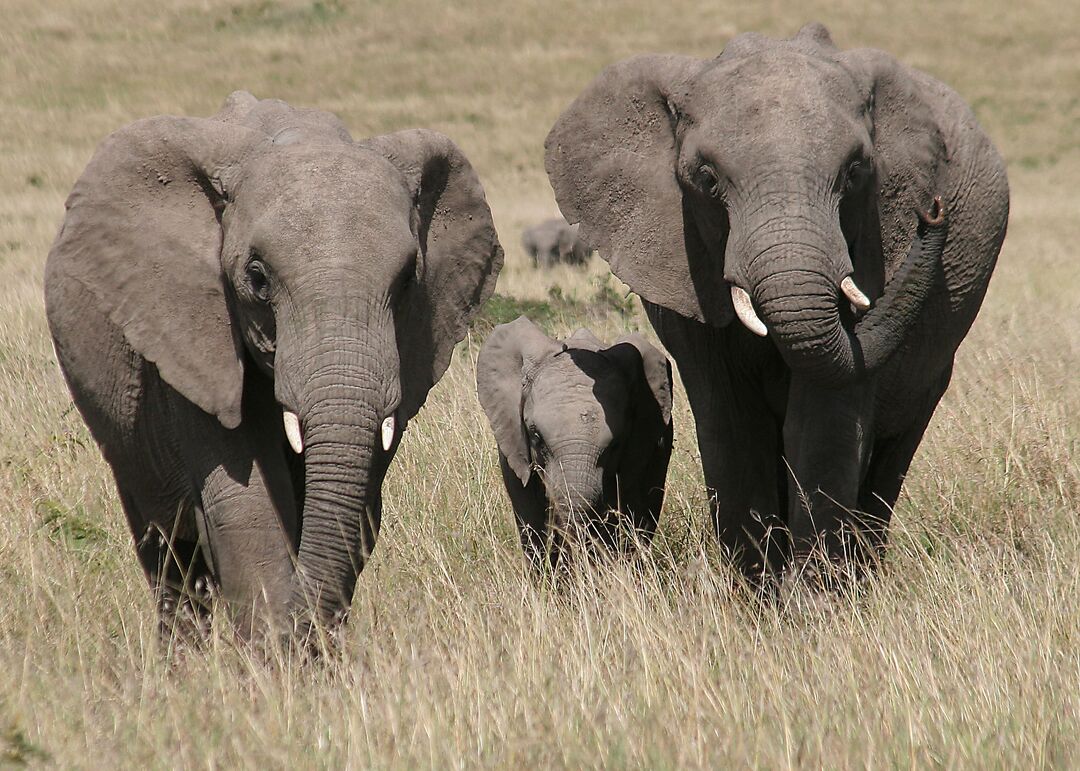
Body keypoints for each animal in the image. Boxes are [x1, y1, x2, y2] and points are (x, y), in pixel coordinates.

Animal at [46, 90, 505, 639]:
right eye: (258, 278)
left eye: (409, 281)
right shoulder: (188, 335)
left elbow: (355, 507)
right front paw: (278, 655)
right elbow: (248, 508)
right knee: (166, 551)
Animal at [548, 21, 1010, 578]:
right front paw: (759, 592)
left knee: (894, 447)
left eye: (855, 173)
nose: (934, 211)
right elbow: (731, 422)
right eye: (706, 179)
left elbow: (823, 421)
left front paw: (814, 597)